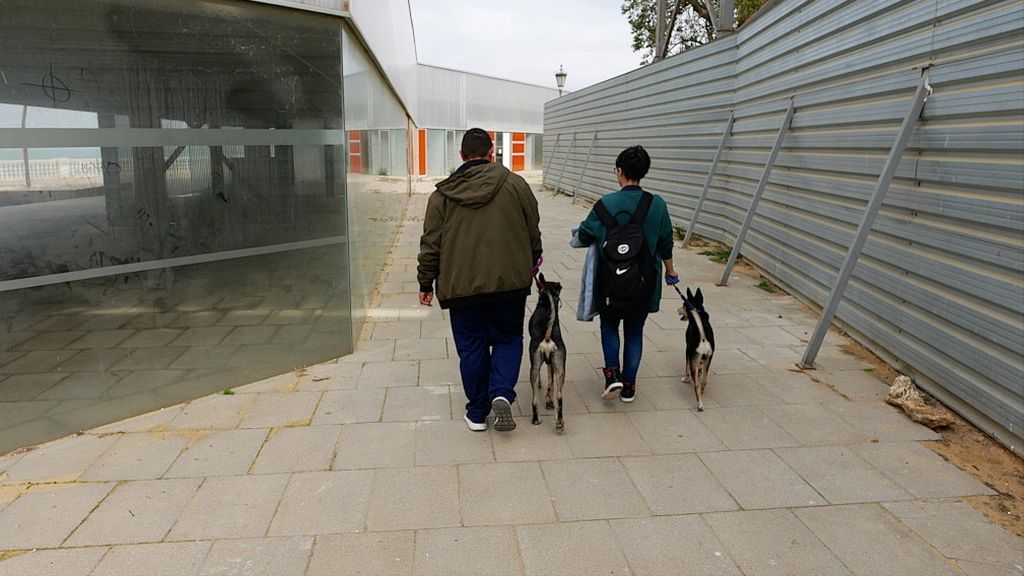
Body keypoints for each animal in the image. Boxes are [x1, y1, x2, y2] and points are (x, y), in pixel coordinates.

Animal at [528, 272, 569, 430]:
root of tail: (547, 337)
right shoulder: (551, 363)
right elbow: (551, 383)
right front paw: (549, 401)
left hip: (535, 364)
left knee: (534, 399)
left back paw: (535, 419)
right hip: (560, 365)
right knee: (559, 396)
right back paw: (559, 422)